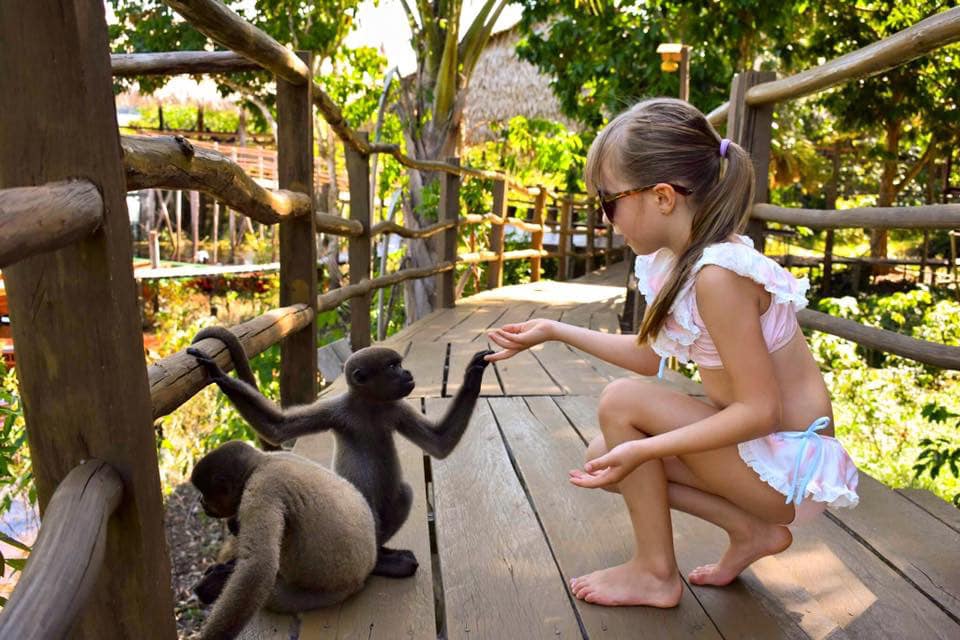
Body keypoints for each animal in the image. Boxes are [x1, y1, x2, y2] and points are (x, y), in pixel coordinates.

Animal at [187, 328, 492, 576]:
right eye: (393, 366)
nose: (407, 374)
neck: (369, 406)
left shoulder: (395, 408)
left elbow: (439, 443)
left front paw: (474, 375)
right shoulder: (338, 411)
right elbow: (277, 427)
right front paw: (219, 376)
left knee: (403, 492)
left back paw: (381, 554)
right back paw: (379, 561)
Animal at [191, 440, 378, 640]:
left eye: (205, 494)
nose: (200, 500)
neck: (260, 463)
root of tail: (365, 573)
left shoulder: (259, 491)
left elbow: (258, 567)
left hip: (318, 595)